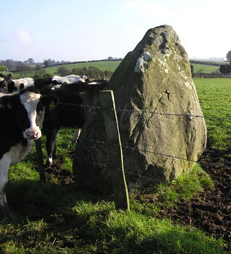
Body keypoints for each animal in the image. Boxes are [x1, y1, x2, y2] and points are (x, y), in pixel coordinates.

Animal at [0, 86, 57, 215]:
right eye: (20, 111)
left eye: (40, 110)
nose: (32, 133)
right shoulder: (2, 156)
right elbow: (3, 184)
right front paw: (5, 209)